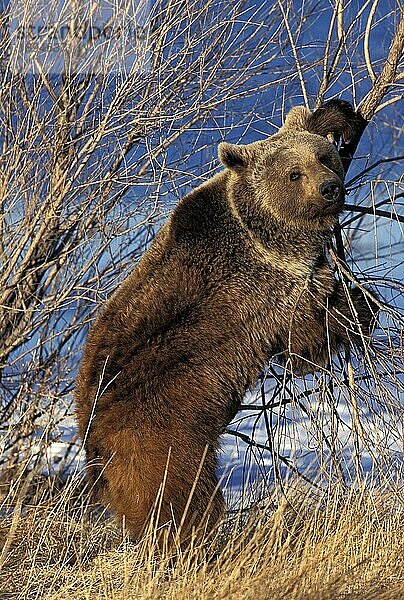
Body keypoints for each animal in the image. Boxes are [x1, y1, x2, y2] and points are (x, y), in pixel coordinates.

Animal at [75, 99, 376, 548]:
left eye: (323, 158)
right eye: (294, 173)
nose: (329, 189)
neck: (266, 235)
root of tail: (90, 440)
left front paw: (338, 116)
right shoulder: (261, 292)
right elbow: (304, 337)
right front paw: (357, 306)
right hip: (160, 429)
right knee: (176, 497)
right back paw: (193, 542)